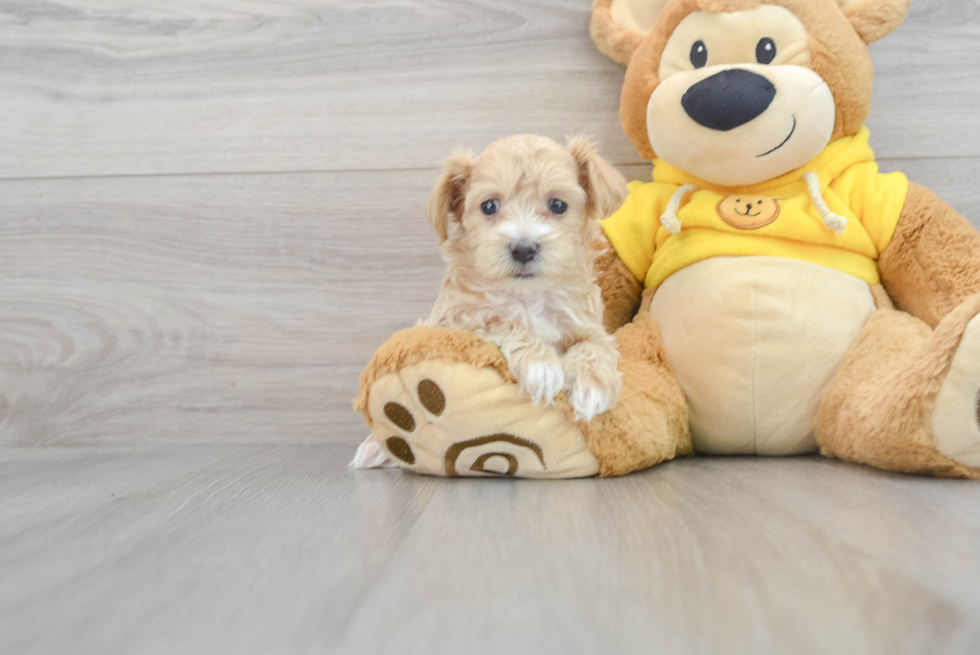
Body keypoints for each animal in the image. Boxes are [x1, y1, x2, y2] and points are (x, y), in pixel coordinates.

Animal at [424, 135, 628, 420]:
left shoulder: (587, 324)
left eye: (557, 205)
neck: (529, 295)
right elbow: (500, 321)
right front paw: (540, 364)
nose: (523, 249)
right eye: (489, 206)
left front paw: (593, 385)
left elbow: (596, 345)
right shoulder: (453, 319)